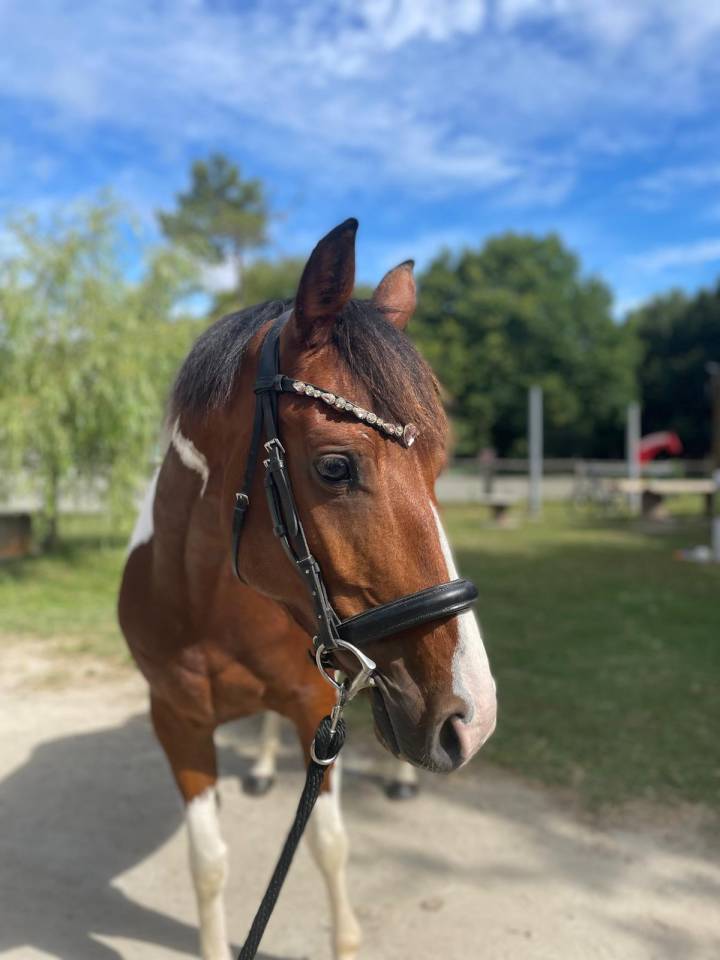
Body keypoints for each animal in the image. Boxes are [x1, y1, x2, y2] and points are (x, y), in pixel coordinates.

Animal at [118, 218, 497, 960]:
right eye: (335, 466)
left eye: (441, 465)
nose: (472, 714)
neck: (201, 601)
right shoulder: (177, 721)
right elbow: (207, 864)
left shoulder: (315, 710)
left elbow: (327, 847)